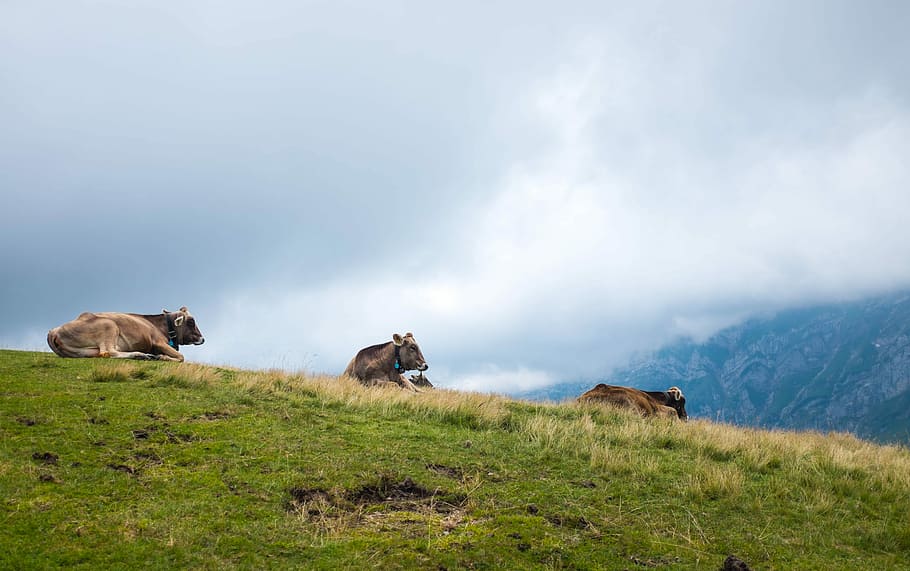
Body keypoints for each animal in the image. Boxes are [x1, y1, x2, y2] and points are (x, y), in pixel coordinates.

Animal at [47, 306, 205, 362]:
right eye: (191, 322)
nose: (202, 339)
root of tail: (53, 331)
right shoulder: (158, 342)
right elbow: (181, 357)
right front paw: (162, 357)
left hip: (85, 352)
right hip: (109, 326)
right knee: (108, 352)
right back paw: (141, 355)